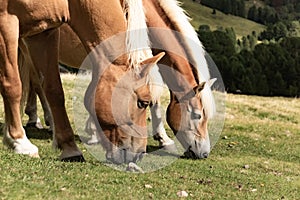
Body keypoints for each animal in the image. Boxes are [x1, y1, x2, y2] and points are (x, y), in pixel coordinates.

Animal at [0, 0, 164, 163]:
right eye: (143, 103)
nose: (139, 154)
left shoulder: (44, 33)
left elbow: (54, 91)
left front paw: (70, 149)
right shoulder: (6, 23)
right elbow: (12, 86)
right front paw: (19, 141)